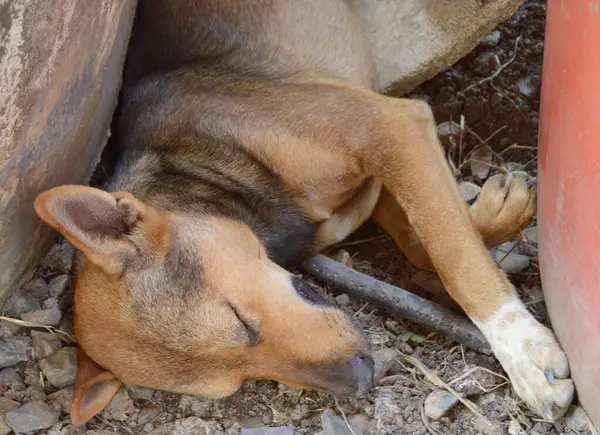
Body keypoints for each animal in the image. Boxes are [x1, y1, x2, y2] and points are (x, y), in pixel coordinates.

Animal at [31, 0, 572, 426]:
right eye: (234, 382)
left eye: (240, 320)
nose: (362, 377)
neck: (201, 162)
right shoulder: (373, 180)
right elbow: (426, 239)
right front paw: (498, 213)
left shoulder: (388, 126)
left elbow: (452, 250)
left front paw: (523, 350)